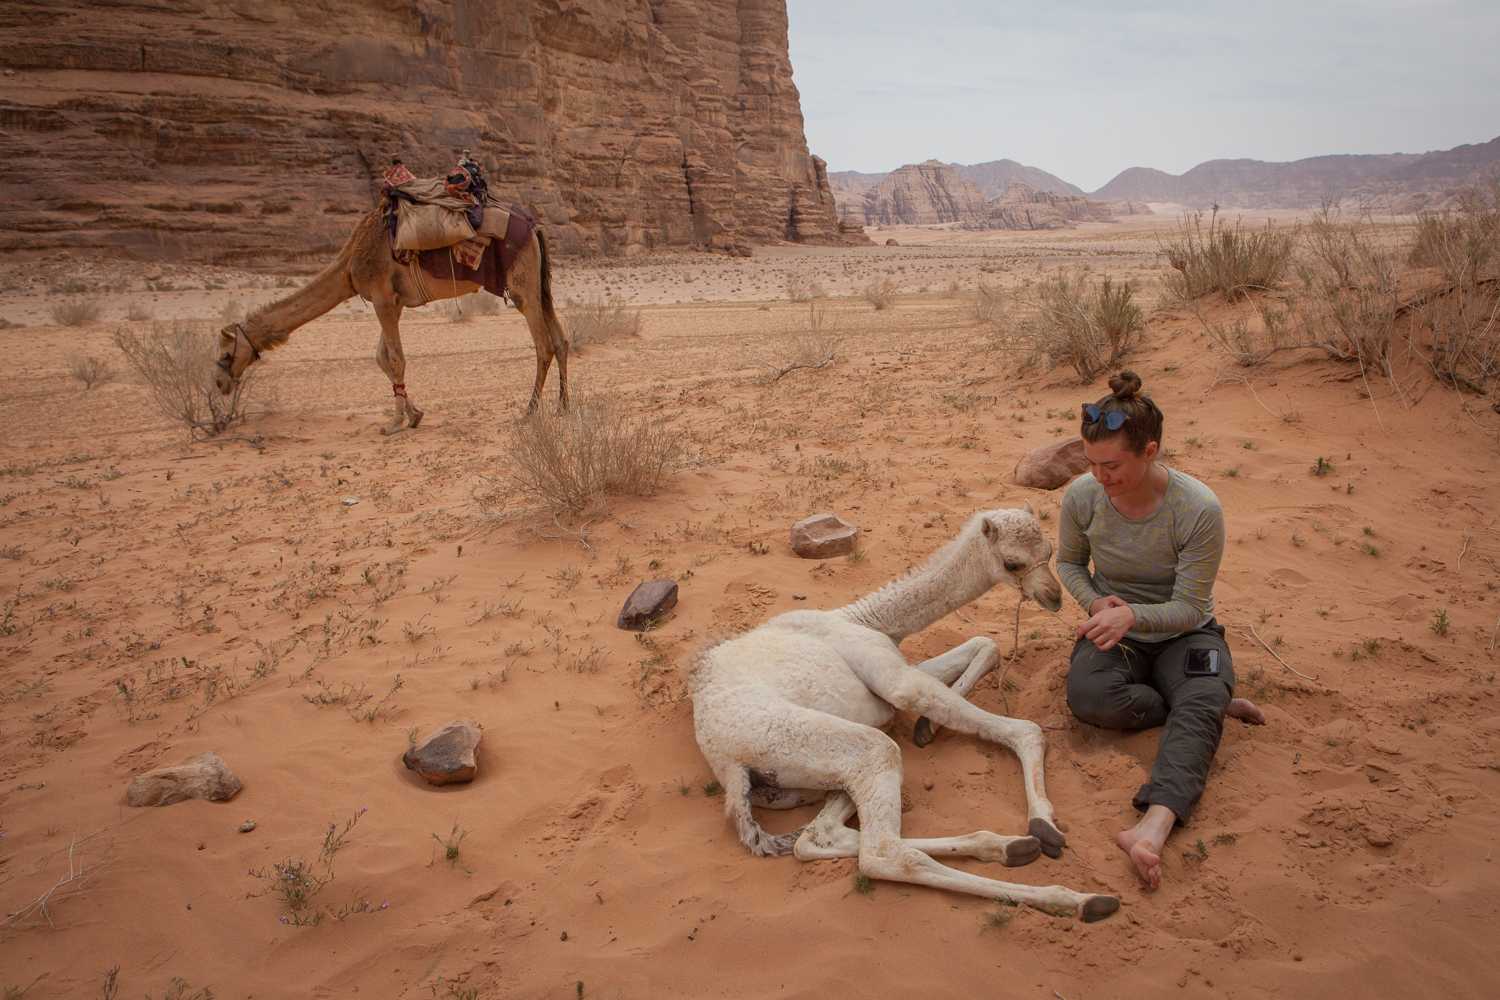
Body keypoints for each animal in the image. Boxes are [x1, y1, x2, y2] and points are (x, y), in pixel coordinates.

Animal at [214, 210, 569, 433]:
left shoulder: (382, 297)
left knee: (543, 345)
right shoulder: (392, 302)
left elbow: (396, 359)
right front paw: (414, 415)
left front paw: (394, 423)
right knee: (561, 340)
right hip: (540, 284)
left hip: (522, 286)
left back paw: (530, 411)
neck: (349, 265)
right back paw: (562, 406)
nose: (220, 383)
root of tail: (535, 229)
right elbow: (382, 358)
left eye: (225, 353)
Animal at [691, 506, 1120, 922]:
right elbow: (1022, 727)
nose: (1053, 596)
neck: (869, 620)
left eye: (1048, 551)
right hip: (838, 743)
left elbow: (985, 644)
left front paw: (928, 727)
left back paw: (1009, 847)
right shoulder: (891, 676)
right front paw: (1044, 822)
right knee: (882, 851)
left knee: (819, 835)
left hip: (807, 779)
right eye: (1013, 563)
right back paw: (1079, 898)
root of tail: (728, 765)